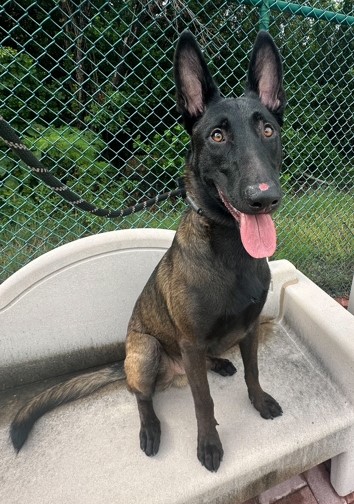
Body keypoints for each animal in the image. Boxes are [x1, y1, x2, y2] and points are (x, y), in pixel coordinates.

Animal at [11, 30, 286, 472]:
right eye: (217, 135)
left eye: (267, 130)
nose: (264, 198)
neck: (231, 251)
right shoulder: (190, 342)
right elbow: (203, 402)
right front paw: (209, 445)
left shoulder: (248, 328)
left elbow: (253, 373)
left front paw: (258, 402)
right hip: (147, 351)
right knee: (142, 397)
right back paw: (151, 428)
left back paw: (218, 362)